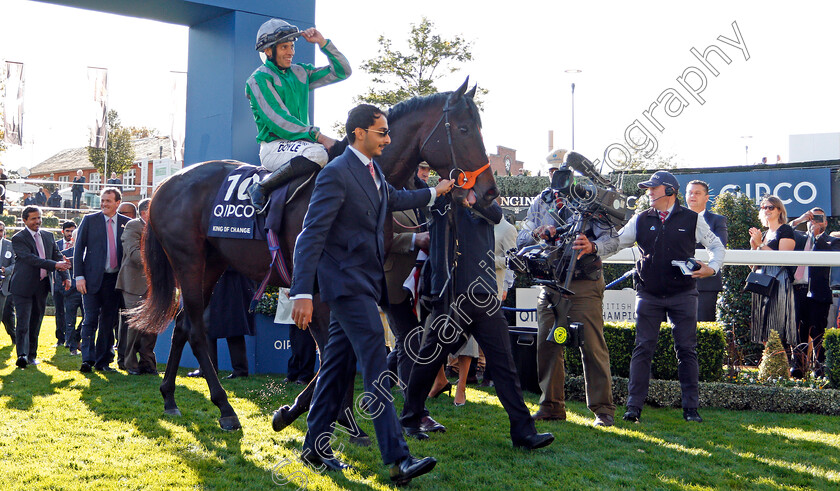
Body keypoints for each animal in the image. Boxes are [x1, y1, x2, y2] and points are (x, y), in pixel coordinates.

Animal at [131, 77, 496, 430]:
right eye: (464, 129)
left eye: (481, 128)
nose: (490, 192)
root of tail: (167, 184)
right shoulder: (319, 288)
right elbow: (331, 351)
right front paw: (315, 414)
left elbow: (347, 350)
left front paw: (326, 415)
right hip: (188, 260)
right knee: (195, 329)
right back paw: (225, 408)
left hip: (212, 264)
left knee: (182, 324)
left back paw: (169, 397)